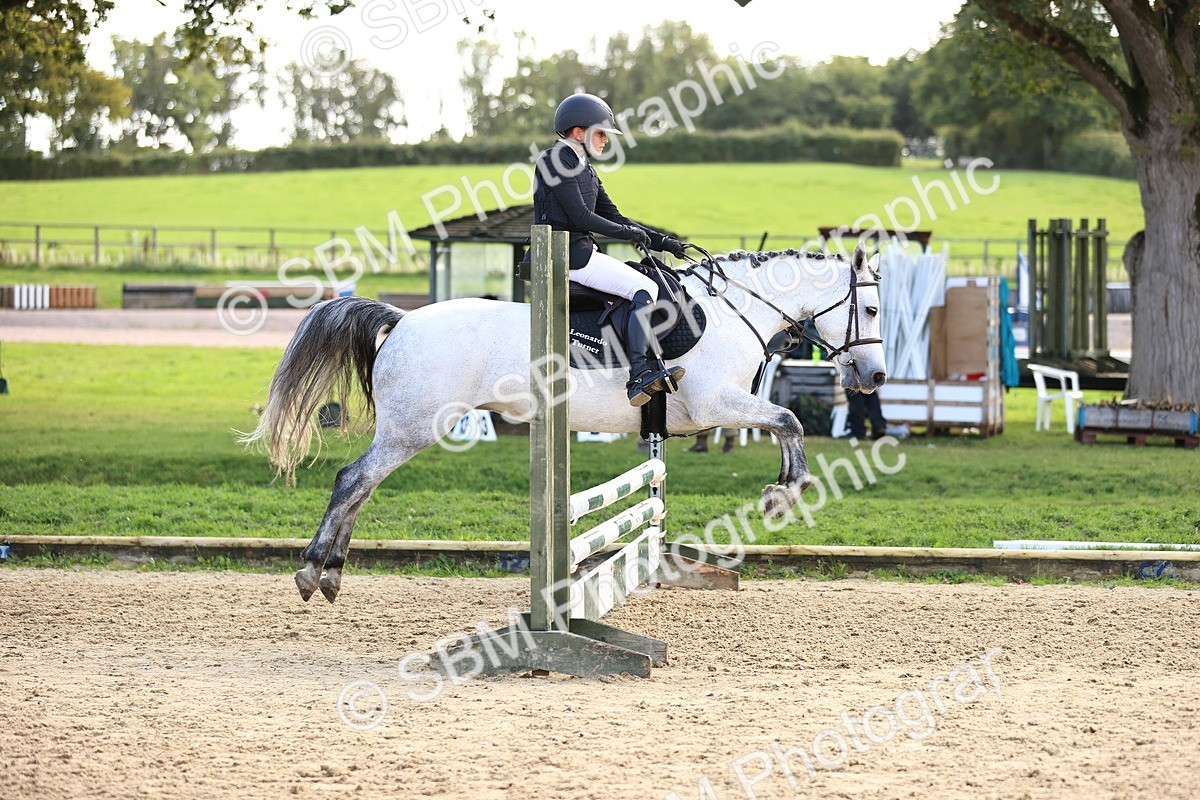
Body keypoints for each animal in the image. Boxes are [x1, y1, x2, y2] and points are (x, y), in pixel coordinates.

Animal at [243, 243, 887, 602]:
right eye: (874, 308)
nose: (875, 377)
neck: (734, 311)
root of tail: (403, 320)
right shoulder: (715, 406)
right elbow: (789, 420)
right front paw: (785, 493)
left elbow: (782, 424)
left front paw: (783, 489)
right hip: (414, 428)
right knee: (353, 480)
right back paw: (314, 572)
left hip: (410, 429)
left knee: (362, 486)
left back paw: (331, 573)